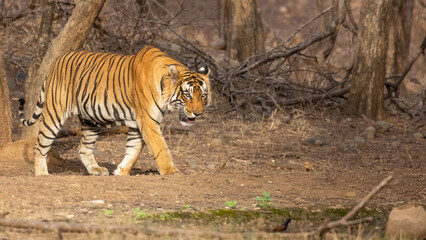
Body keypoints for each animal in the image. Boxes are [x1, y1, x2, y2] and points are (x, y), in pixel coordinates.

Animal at [18, 45, 211, 176]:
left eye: (203, 96)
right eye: (187, 95)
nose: (198, 113)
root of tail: (56, 60)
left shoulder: (138, 123)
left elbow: (134, 150)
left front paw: (121, 171)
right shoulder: (148, 120)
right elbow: (160, 147)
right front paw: (172, 172)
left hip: (91, 120)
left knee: (83, 148)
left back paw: (96, 169)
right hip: (54, 113)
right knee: (40, 145)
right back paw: (42, 173)